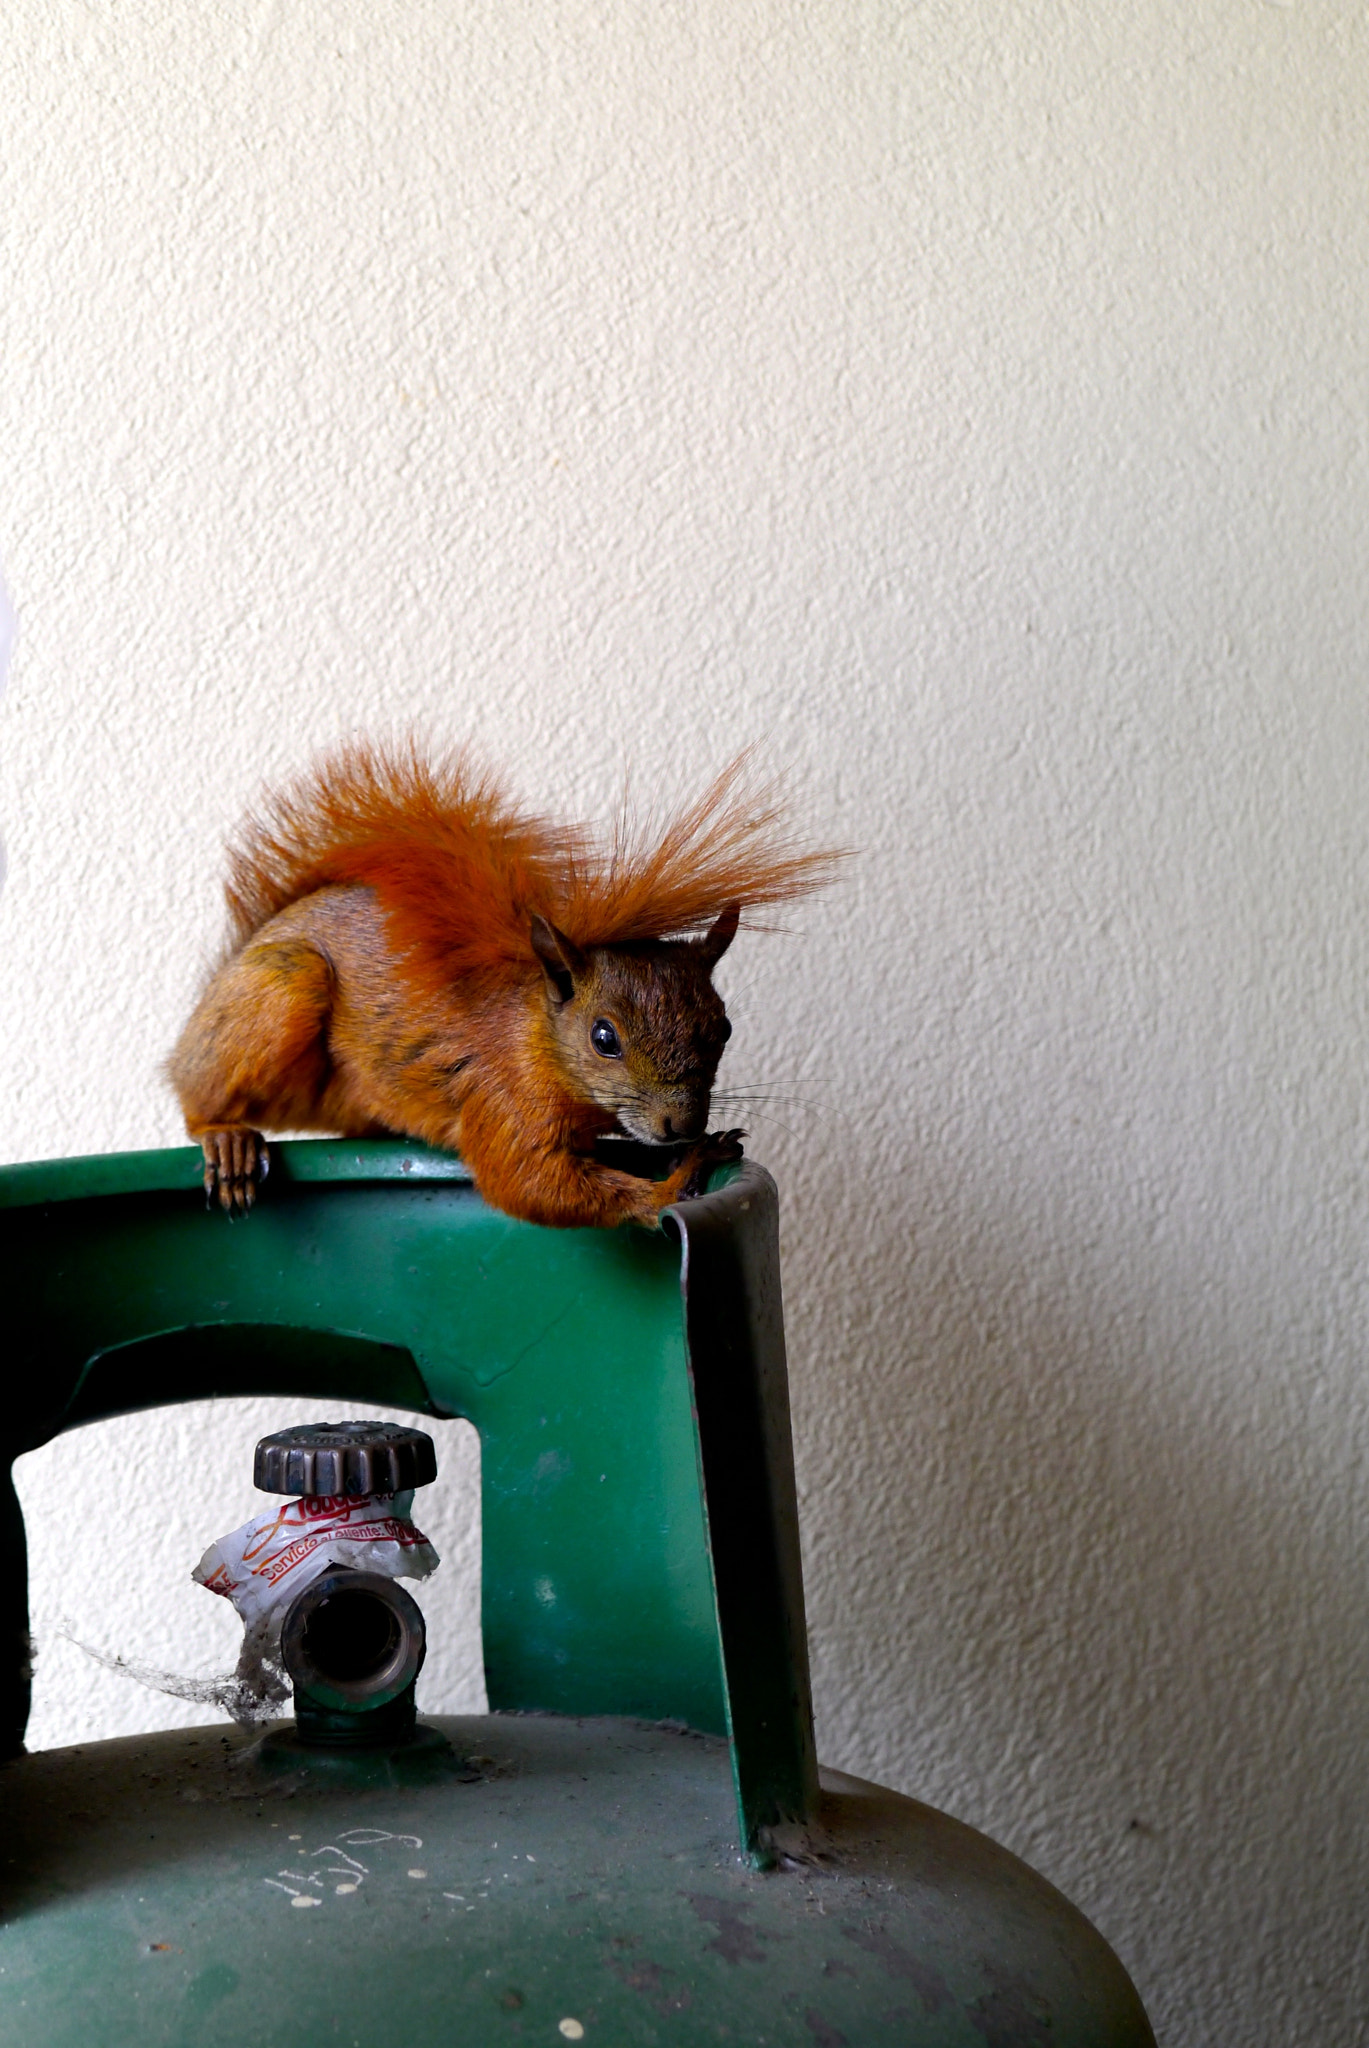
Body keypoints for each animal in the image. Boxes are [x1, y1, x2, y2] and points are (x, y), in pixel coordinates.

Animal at [168, 742, 840, 1228]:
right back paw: (224, 1137)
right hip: (284, 987)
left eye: (723, 1027)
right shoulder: (502, 1098)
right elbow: (527, 1183)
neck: (539, 1037)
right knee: (196, 1099)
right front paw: (675, 1182)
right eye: (603, 1038)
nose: (682, 1125)